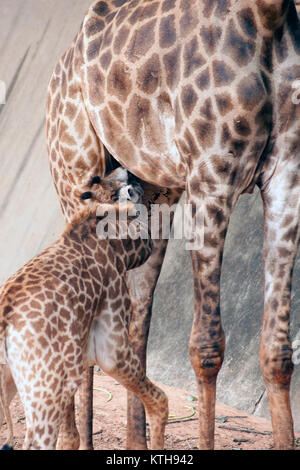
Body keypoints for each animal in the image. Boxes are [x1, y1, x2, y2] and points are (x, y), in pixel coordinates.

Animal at [46, 0, 300, 450]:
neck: (266, 17)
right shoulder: (211, 176)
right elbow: (207, 345)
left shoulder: (287, 173)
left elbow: (278, 351)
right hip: (74, 176)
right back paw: (75, 441)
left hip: (152, 197)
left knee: (135, 318)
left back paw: (134, 443)